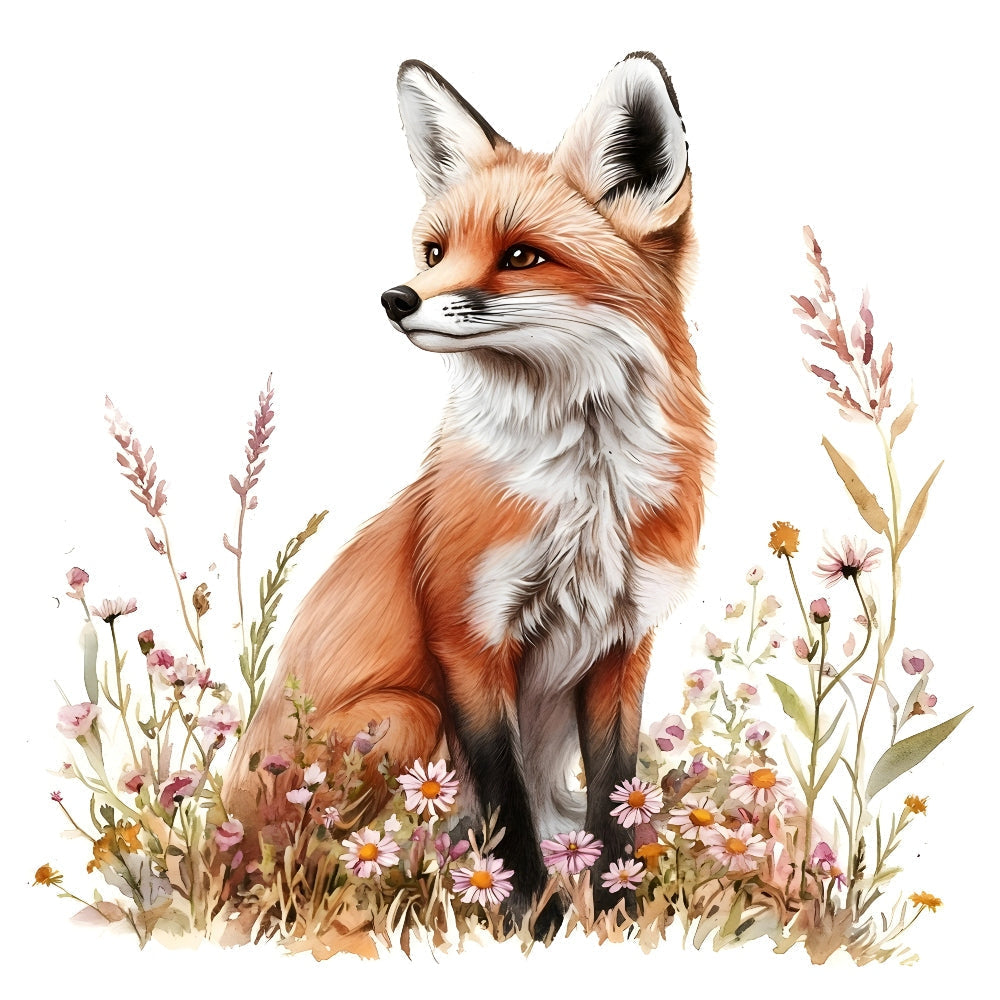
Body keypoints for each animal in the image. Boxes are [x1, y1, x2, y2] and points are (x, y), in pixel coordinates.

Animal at [224, 51, 711, 938]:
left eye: (521, 256)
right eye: (434, 250)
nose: (396, 299)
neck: (582, 497)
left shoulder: (625, 639)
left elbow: (615, 795)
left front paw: (619, 915)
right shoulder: (468, 633)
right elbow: (504, 798)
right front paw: (528, 920)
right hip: (405, 717)